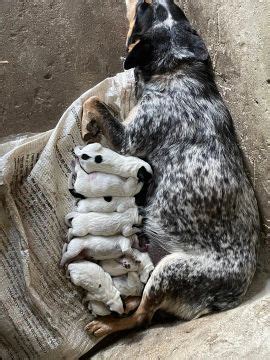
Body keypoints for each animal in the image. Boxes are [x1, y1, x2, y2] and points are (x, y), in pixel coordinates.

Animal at [84, 0, 260, 338]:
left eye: (143, 7)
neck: (175, 68)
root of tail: (229, 297)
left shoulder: (128, 140)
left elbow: (94, 101)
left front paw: (88, 123)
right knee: (139, 303)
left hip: (170, 270)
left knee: (142, 316)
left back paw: (109, 324)